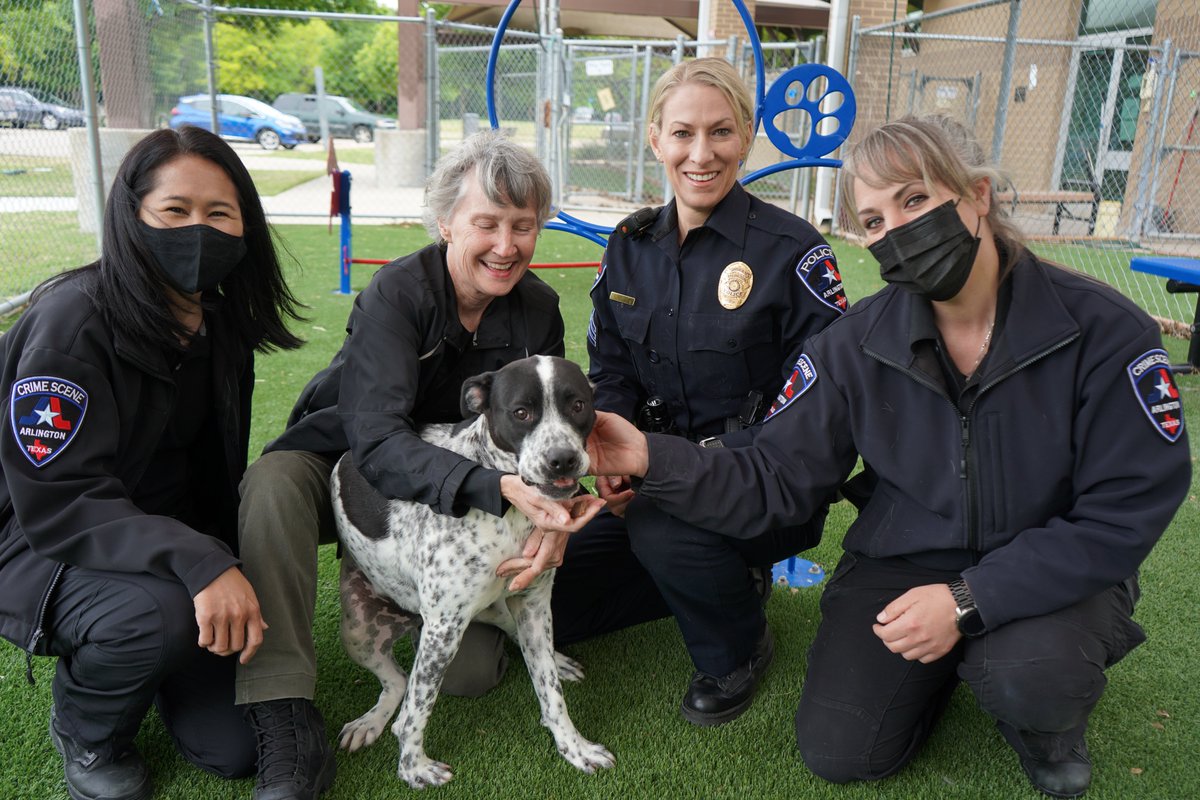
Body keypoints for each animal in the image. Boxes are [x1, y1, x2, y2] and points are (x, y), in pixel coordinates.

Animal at [328, 357, 614, 786]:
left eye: (578, 405)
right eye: (521, 412)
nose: (562, 459)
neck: (509, 515)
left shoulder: (533, 603)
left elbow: (549, 690)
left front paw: (574, 747)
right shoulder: (443, 628)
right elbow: (415, 712)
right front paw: (413, 769)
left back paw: (559, 661)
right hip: (361, 631)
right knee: (399, 685)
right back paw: (371, 723)